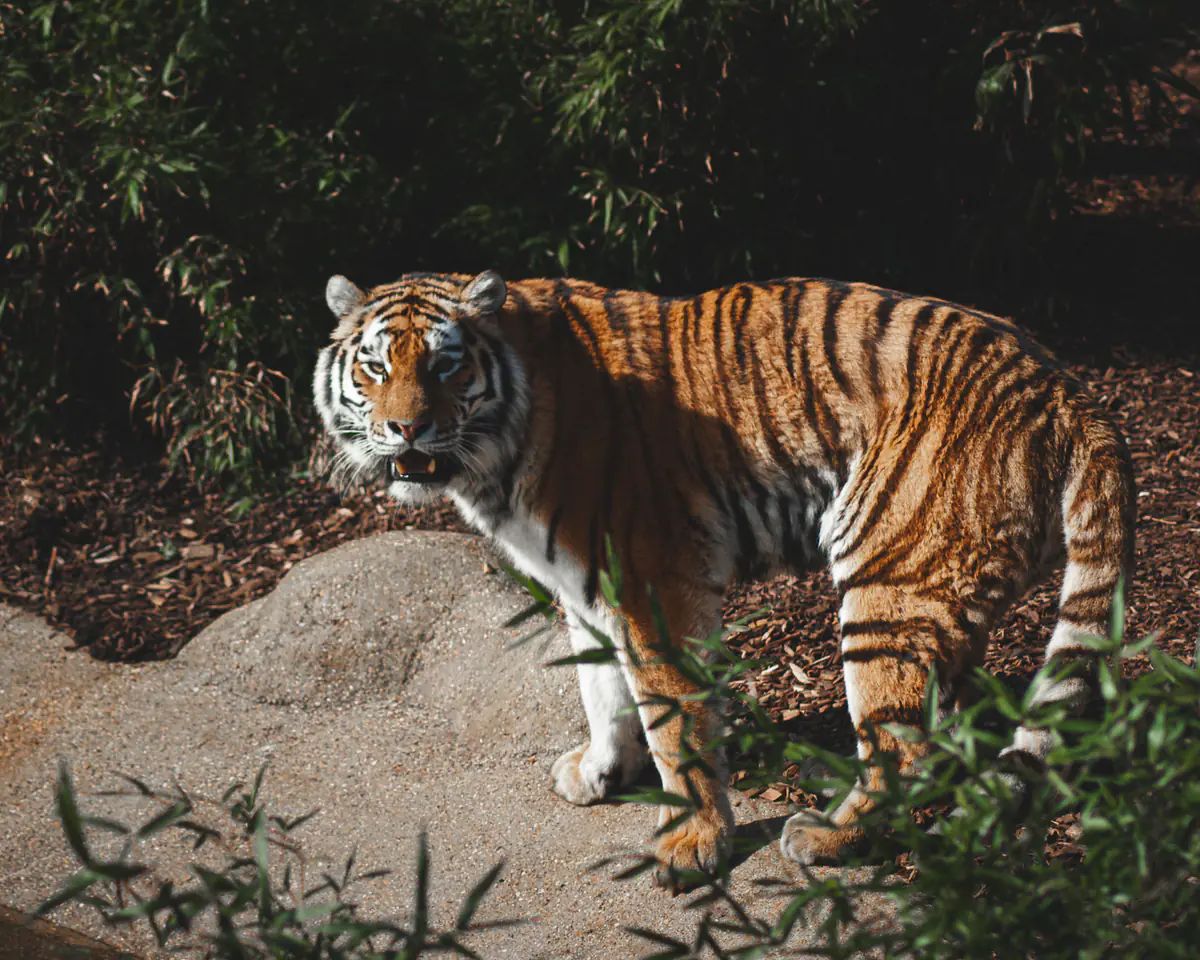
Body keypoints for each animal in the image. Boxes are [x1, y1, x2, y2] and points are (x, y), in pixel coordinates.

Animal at [312, 270, 1135, 891]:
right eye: (376, 367)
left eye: (446, 366)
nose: (406, 429)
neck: (497, 451)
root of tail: (1065, 385)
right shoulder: (580, 583)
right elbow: (599, 689)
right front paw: (599, 773)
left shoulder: (650, 582)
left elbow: (673, 718)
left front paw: (692, 845)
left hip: (887, 584)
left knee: (903, 745)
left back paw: (827, 839)